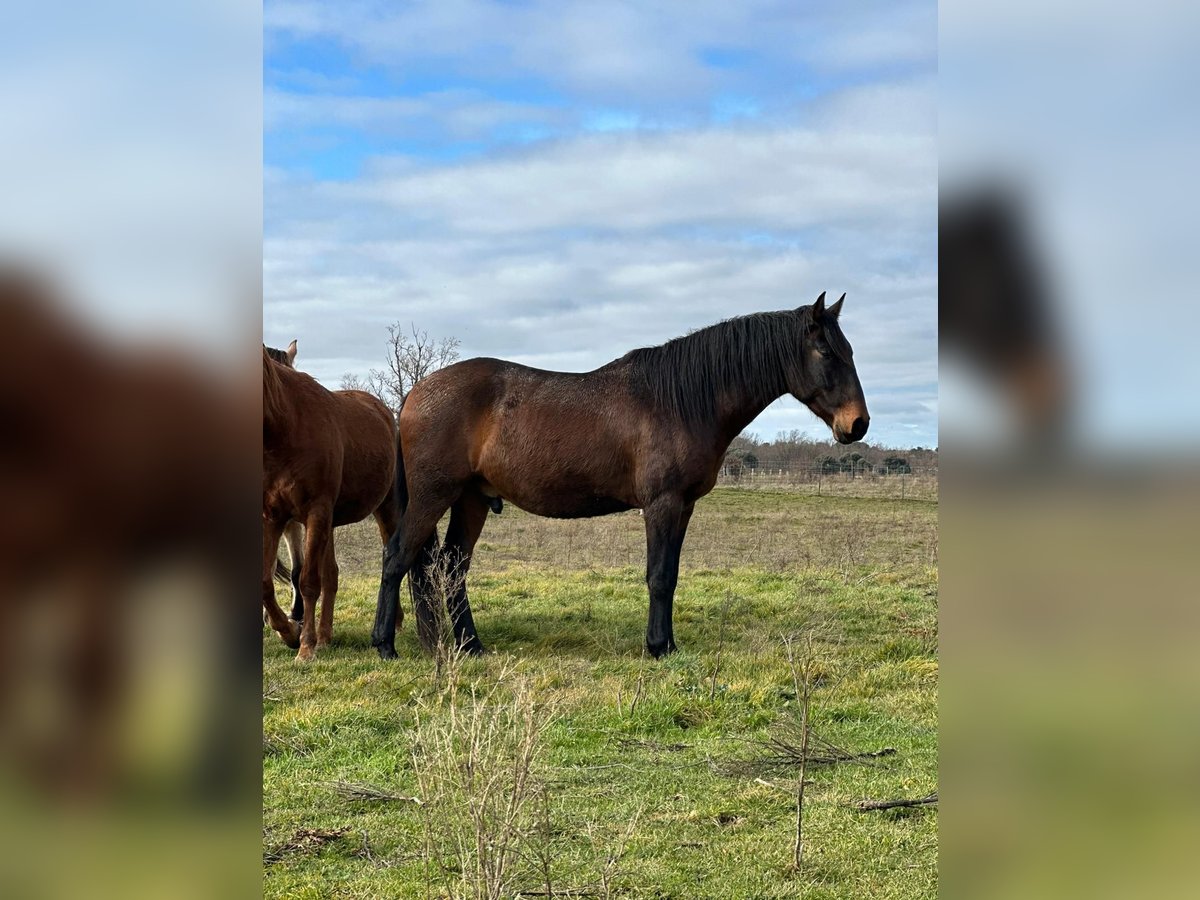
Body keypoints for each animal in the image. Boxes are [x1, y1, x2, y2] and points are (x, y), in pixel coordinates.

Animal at [260, 348, 396, 657]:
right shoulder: (274, 517)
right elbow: (265, 581)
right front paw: (289, 632)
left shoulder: (315, 512)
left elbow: (309, 581)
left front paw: (305, 646)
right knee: (331, 574)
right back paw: (325, 635)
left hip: (385, 509)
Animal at [369, 296, 868, 662]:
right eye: (826, 351)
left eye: (851, 351)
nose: (858, 424)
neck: (682, 401)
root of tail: (414, 395)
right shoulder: (663, 503)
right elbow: (659, 576)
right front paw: (657, 647)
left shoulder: (684, 506)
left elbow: (672, 574)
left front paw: (668, 644)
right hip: (434, 495)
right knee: (397, 558)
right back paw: (385, 645)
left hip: (472, 498)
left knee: (453, 569)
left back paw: (471, 647)